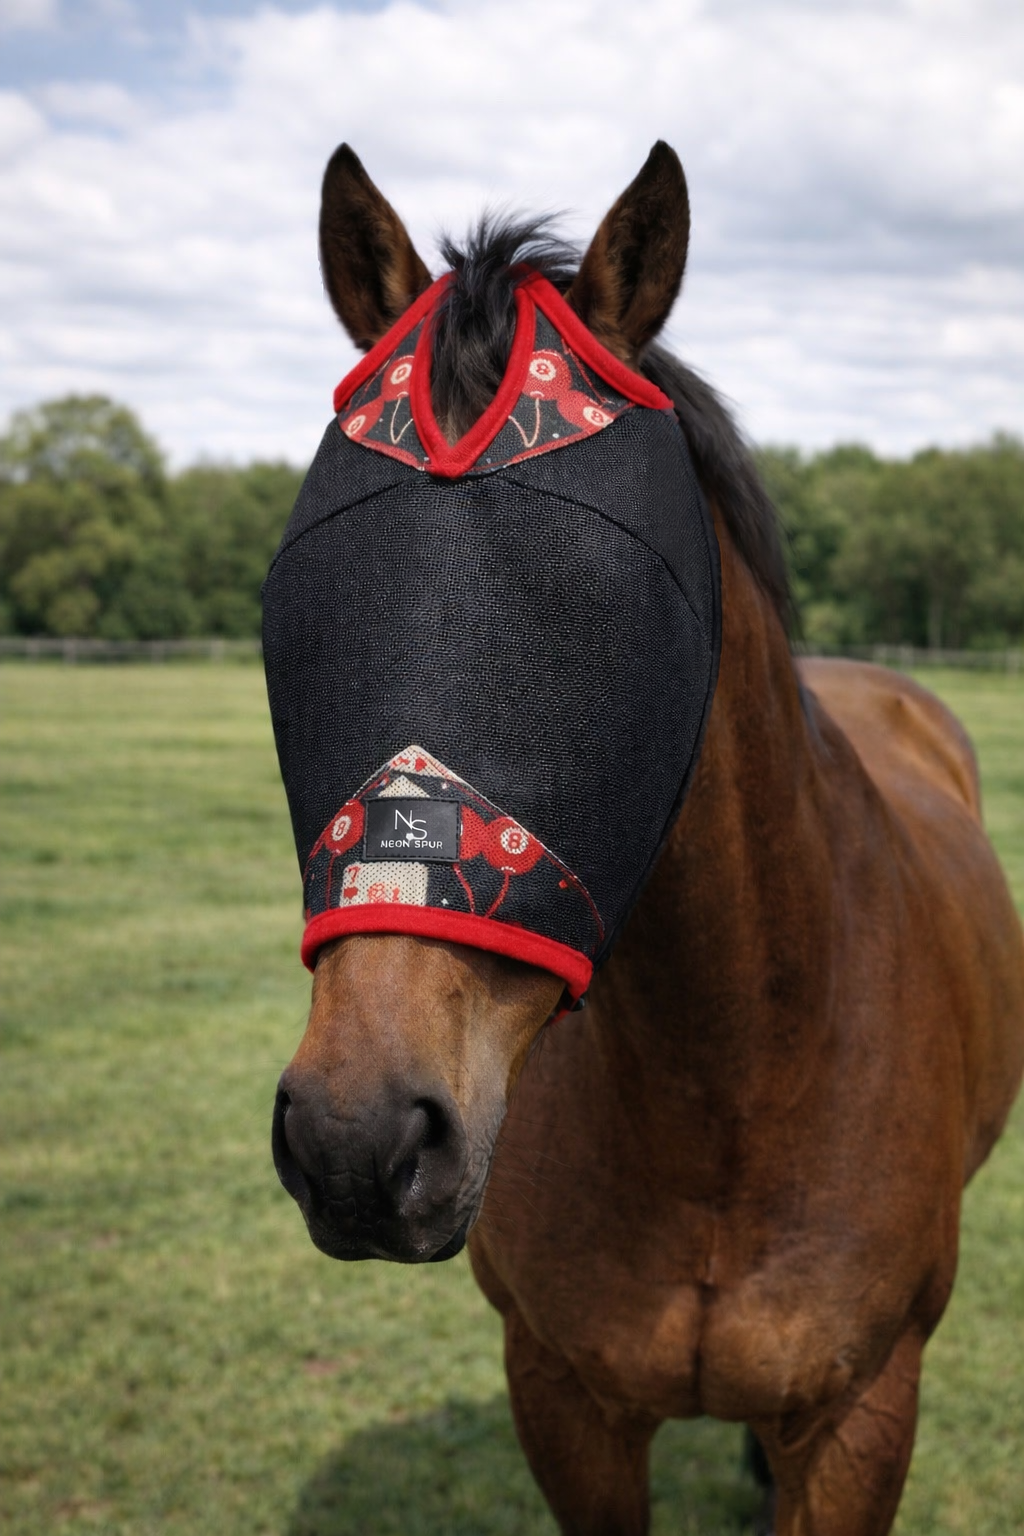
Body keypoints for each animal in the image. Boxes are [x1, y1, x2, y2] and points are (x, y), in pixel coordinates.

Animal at [269, 142, 1024, 1535]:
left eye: (597, 615)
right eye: (302, 595)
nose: (356, 1137)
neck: (730, 1081)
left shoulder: (862, 1418)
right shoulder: (566, 1405)